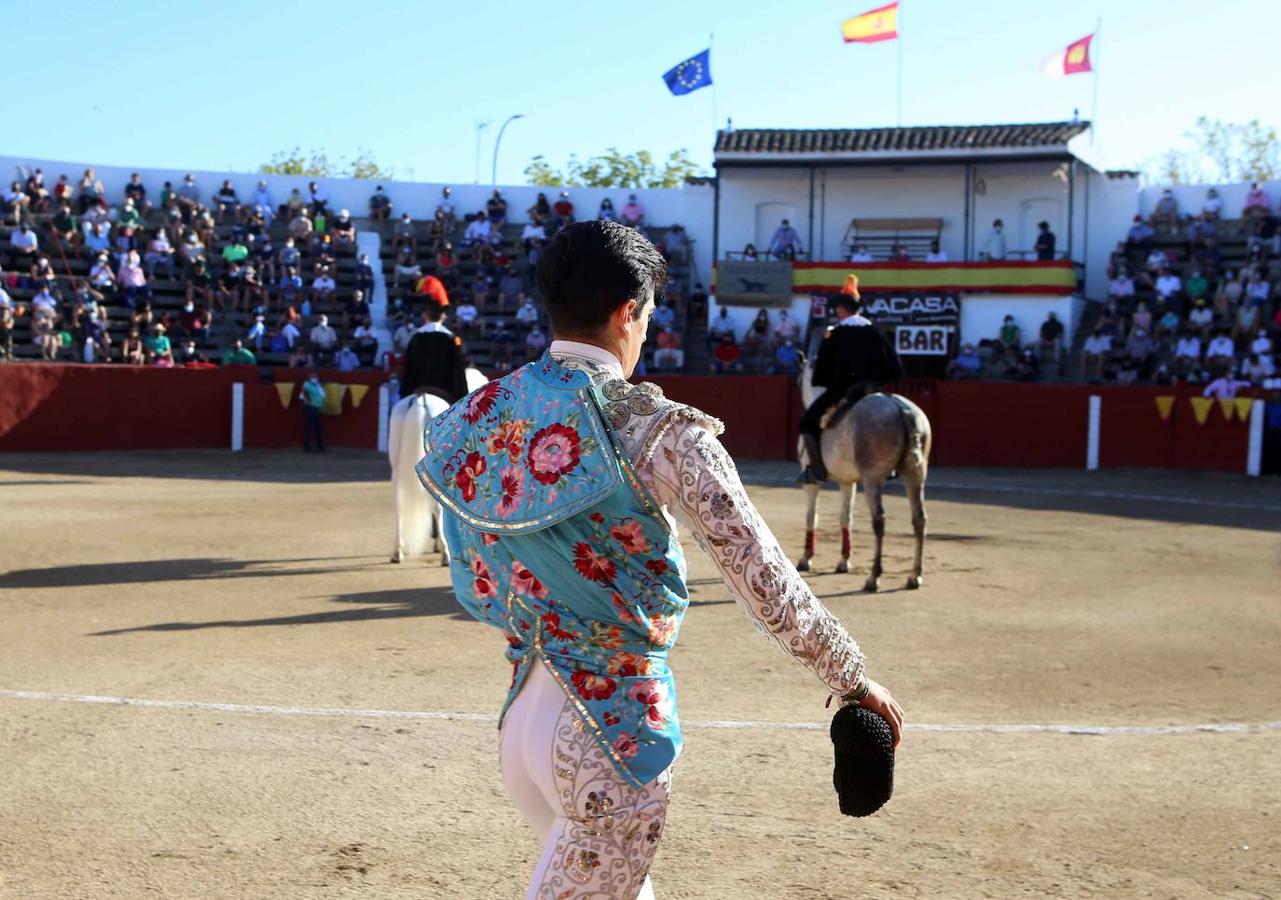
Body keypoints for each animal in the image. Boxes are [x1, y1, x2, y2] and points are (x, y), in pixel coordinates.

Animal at [386, 366, 486, 563]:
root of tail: (420, 399)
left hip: (396, 468)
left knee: (399, 505)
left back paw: (397, 551)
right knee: (438, 506)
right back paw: (445, 553)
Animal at [789, 358, 932, 591]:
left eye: (797, 379)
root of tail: (902, 409)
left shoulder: (812, 483)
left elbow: (812, 516)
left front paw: (806, 558)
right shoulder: (848, 482)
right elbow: (846, 517)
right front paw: (844, 561)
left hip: (873, 479)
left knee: (879, 520)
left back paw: (873, 577)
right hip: (916, 475)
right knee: (919, 518)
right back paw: (914, 576)